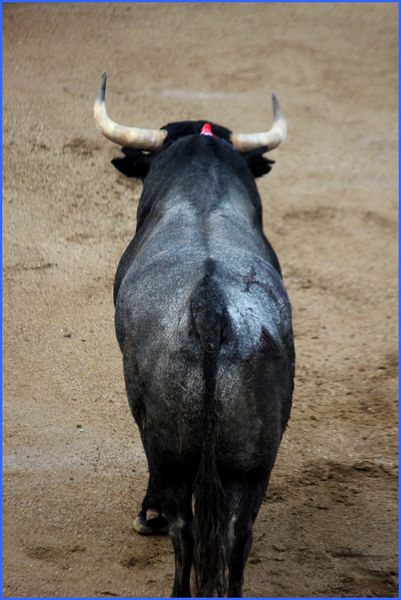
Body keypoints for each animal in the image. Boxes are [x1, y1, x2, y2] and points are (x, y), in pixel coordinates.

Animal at [94, 72, 294, 596]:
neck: (203, 194)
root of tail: (210, 309)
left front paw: (147, 515)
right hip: (253, 461)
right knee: (239, 532)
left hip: (172, 451)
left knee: (184, 527)